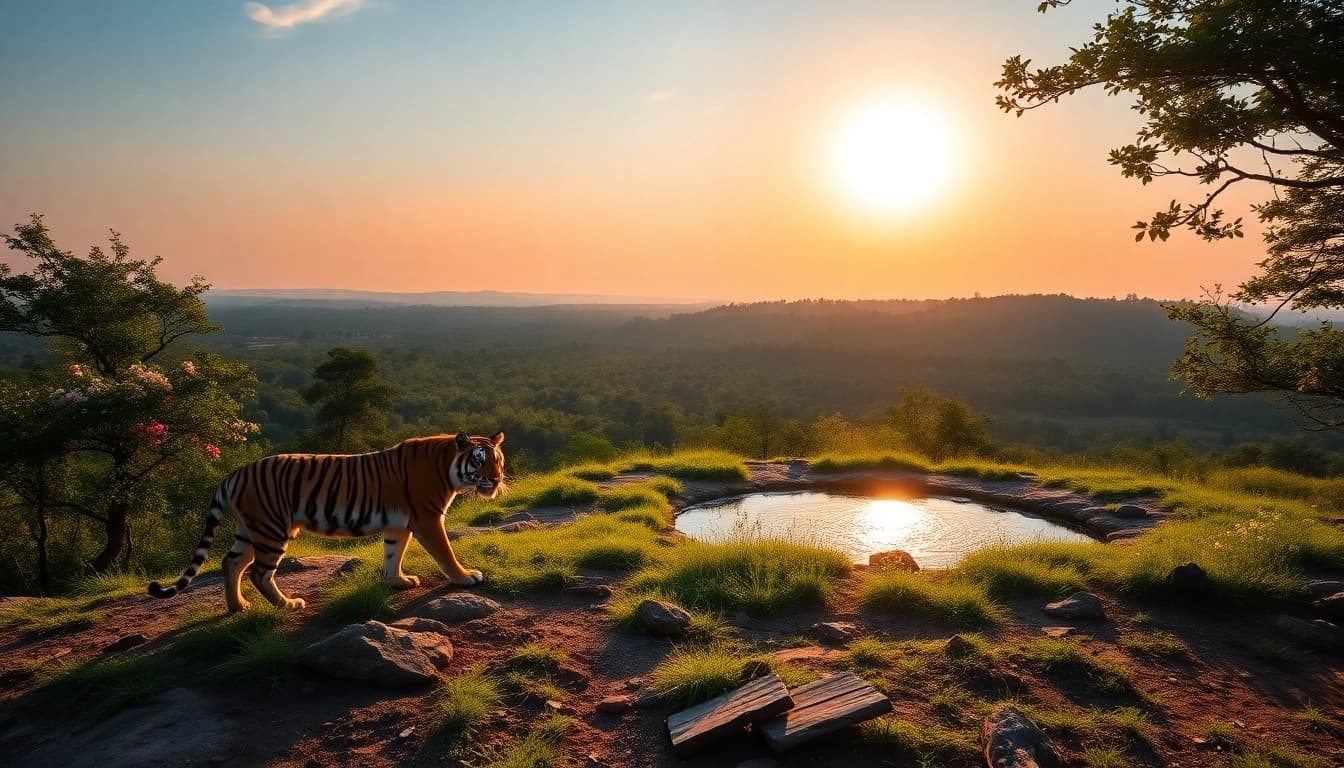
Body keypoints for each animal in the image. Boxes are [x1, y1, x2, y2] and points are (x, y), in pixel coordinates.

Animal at [148, 431, 506, 613]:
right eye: (479, 461)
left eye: (498, 460)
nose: (497, 479)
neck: (448, 467)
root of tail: (234, 473)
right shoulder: (427, 519)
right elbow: (445, 553)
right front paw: (465, 577)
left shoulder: (398, 524)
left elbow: (393, 554)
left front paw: (398, 582)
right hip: (271, 528)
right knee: (259, 573)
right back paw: (287, 604)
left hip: (250, 529)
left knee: (231, 562)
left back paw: (238, 606)